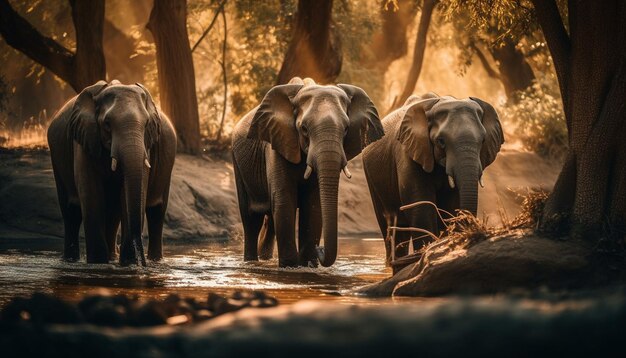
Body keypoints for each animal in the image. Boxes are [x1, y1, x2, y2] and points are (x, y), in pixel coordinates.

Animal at [47, 81, 176, 266]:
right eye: (107, 124)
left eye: (146, 124)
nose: (141, 261)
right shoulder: (85, 138)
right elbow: (91, 194)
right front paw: (97, 262)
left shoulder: (147, 146)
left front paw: (129, 263)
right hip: (56, 158)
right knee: (71, 212)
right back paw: (72, 260)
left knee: (155, 212)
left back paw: (150, 260)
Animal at [232, 79, 382, 268]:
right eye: (303, 128)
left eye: (347, 129)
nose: (320, 249)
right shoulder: (278, 145)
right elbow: (285, 201)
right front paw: (290, 266)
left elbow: (313, 204)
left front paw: (308, 265)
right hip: (237, 164)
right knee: (251, 219)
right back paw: (251, 262)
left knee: (270, 220)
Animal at [360, 92, 502, 268]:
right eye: (441, 141)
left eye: (482, 141)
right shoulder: (408, 152)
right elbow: (420, 207)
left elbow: (452, 205)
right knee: (391, 226)